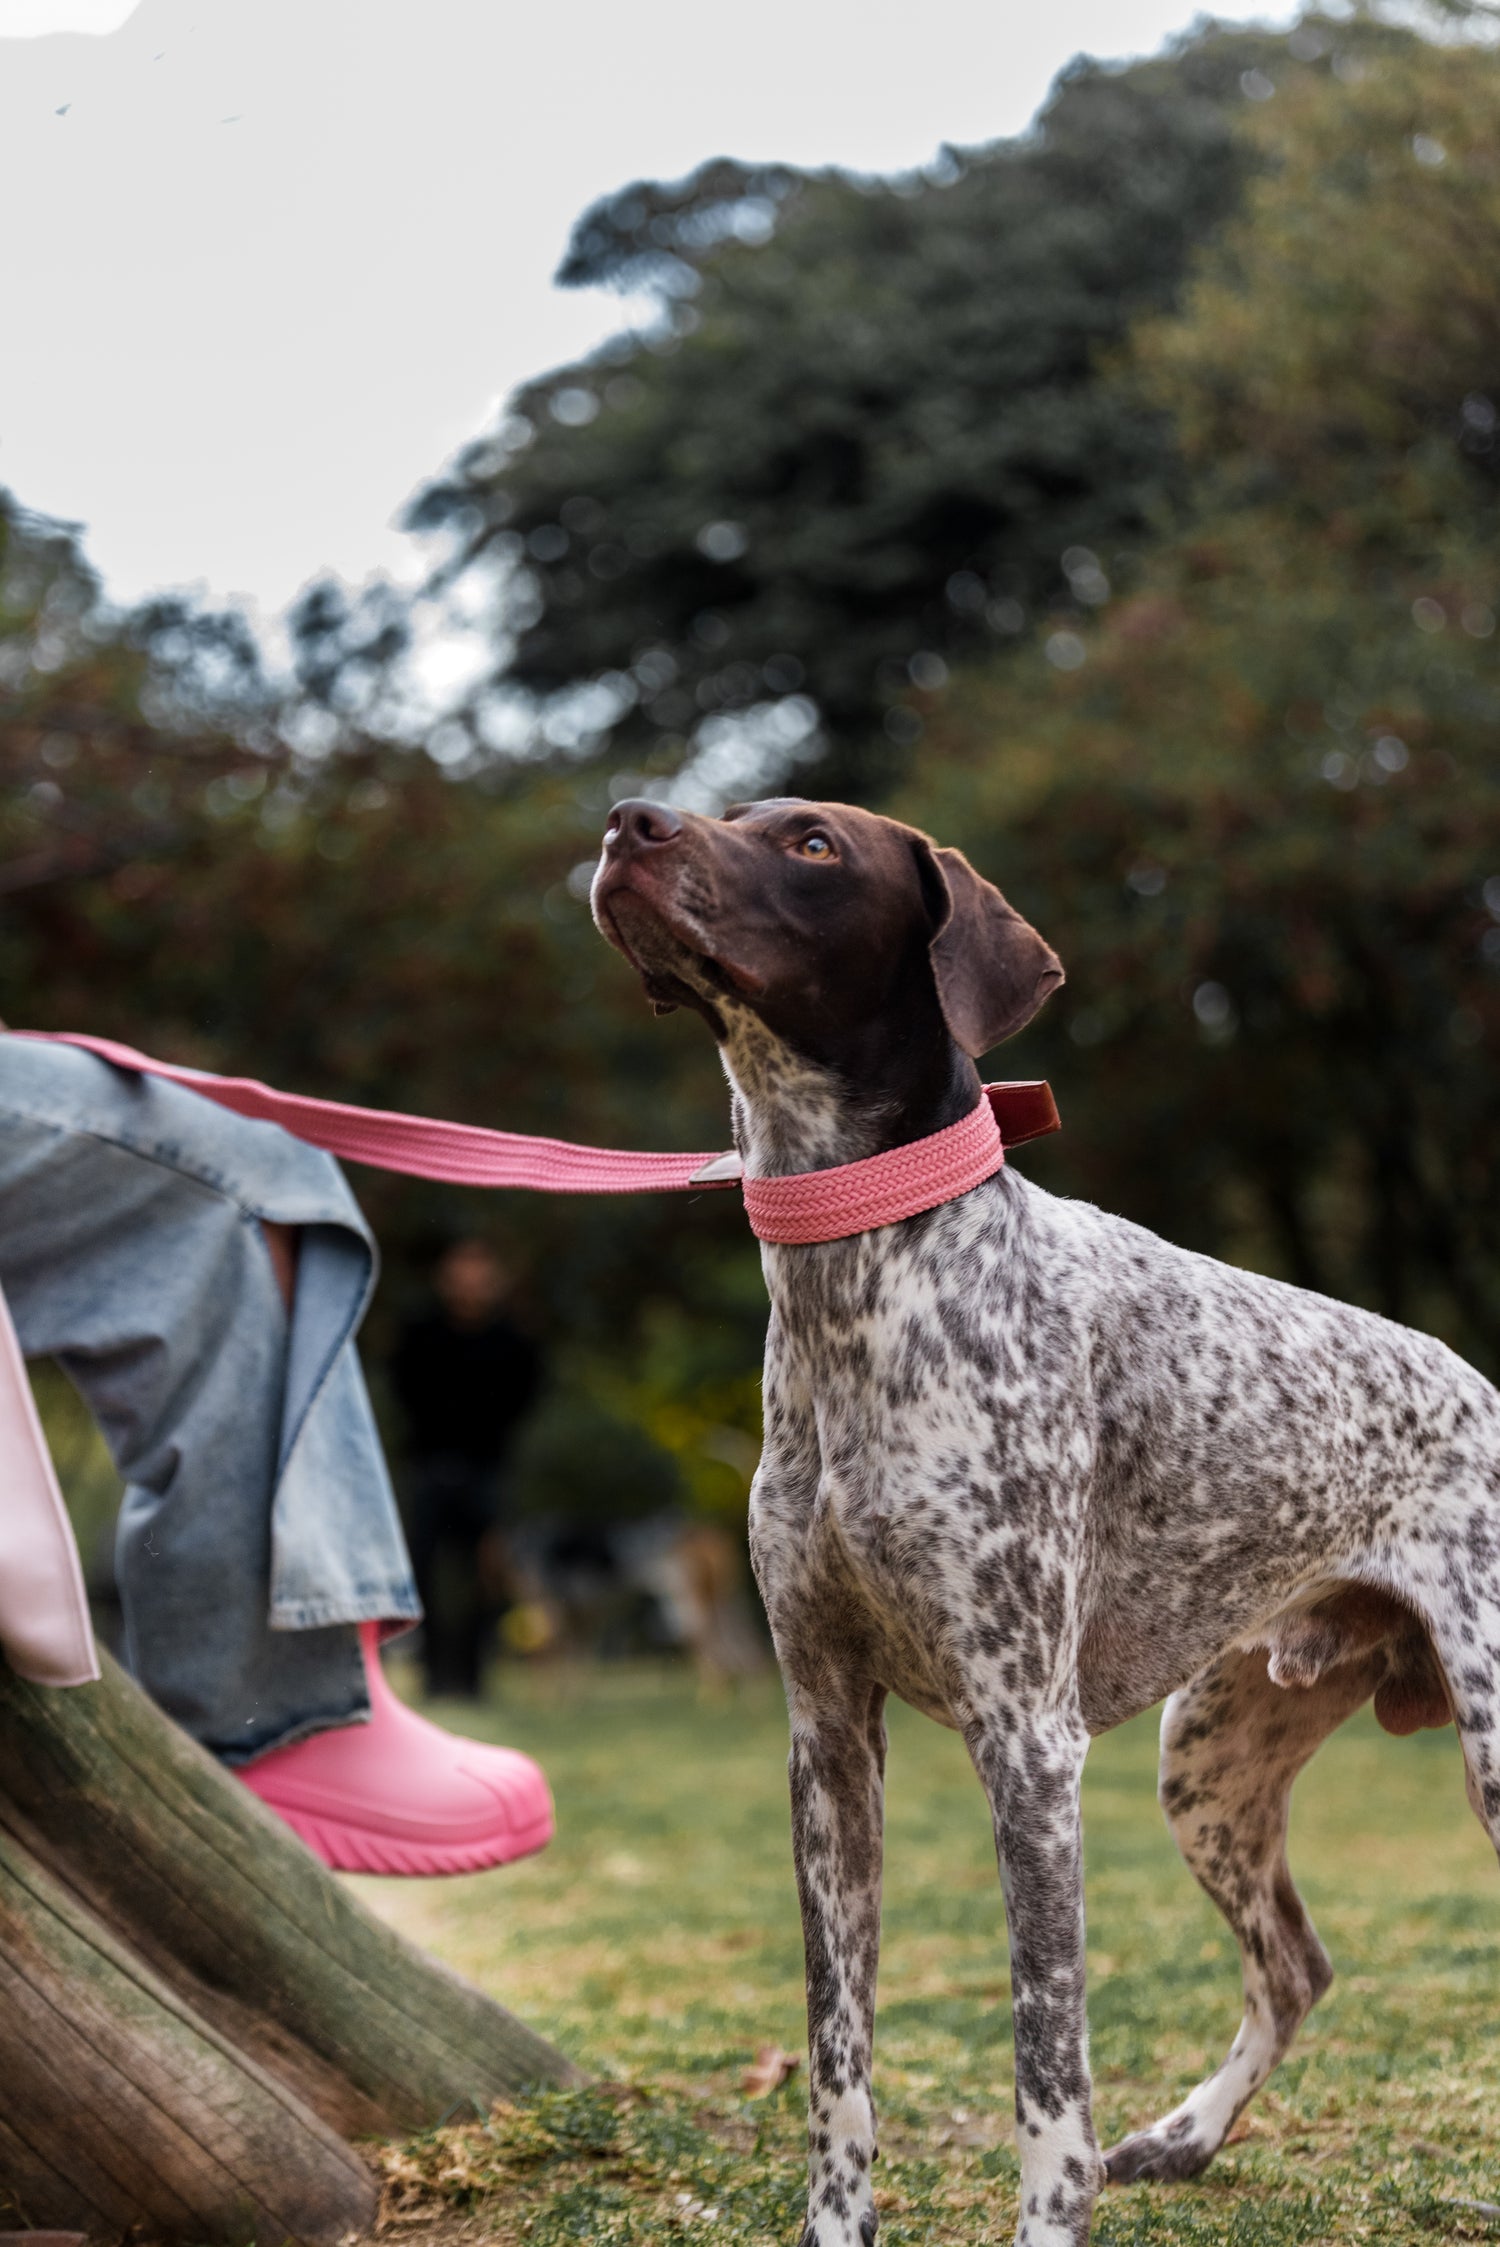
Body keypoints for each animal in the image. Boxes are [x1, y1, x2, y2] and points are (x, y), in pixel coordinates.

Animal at [588, 795, 1491, 2247]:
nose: (627, 821)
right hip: (1211, 1759)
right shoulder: (827, 1740)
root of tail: (1482, 1387)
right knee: (1296, 1965)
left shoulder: (1027, 1744)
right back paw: (1185, 2137)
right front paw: (836, 2226)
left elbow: (1046, 2071)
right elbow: (838, 2060)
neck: (861, 1275)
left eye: (811, 841)